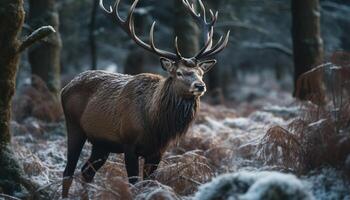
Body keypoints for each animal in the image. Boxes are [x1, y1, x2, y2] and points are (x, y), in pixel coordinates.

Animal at [60, 0, 230, 197]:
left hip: (101, 143)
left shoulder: (157, 151)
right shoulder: (129, 144)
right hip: (74, 126)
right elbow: (134, 185)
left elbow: (149, 184)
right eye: (179, 73)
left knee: (86, 171)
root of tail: (65, 88)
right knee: (68, 171)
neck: (156, 125)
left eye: (201, 73)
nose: (200, 86)